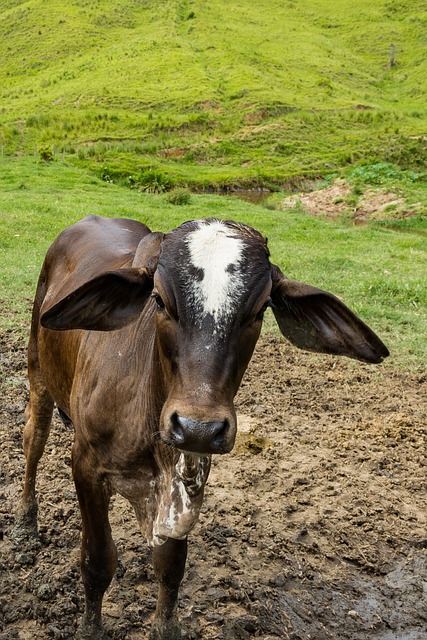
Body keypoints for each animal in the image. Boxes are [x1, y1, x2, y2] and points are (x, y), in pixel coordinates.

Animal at [16, 216, 390, 640]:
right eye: (159, 300)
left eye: (260, 309)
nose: (197, 427)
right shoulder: (86, 465)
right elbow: (97, 562)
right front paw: (90, 628)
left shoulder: (190, 478)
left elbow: (170, 567)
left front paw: (165, 627)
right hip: (38, 371)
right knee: (33, 439)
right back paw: (26, 523)